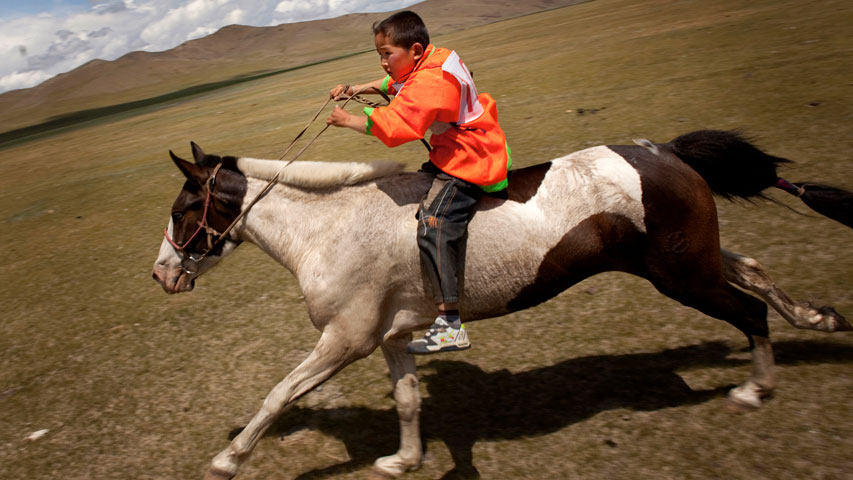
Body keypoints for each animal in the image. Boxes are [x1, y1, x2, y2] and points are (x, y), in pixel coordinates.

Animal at [151, 130, 849, 479]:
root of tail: (666, 152)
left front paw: (227, 460)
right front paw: (404, 460)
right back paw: (819, 318)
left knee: (749, 313)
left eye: (183, 210)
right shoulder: (391, 336)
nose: (162, 274)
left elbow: (279, 394)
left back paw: (755, 390)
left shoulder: (345, 339)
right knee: (754, 274)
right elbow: (407, 400)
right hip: (691, 259)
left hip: (679, 274)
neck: (332, 227)